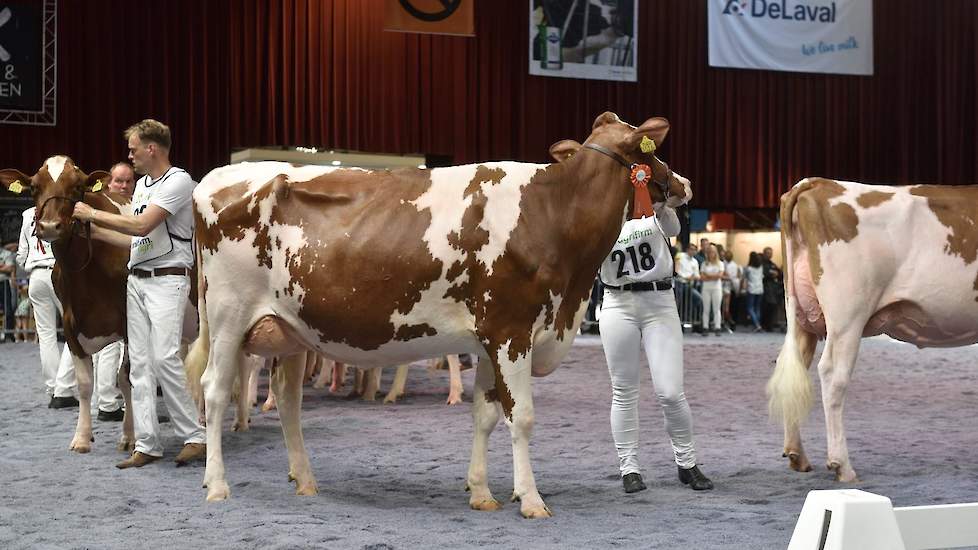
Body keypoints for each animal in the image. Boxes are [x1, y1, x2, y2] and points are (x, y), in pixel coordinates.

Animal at [0, 157, 135, 454]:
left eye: (77, 187)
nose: (50, 226)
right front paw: (82, 437)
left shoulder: (130, 324)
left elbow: (126, 378)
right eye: (34, 187)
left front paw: (130, 435)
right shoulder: (72, 325)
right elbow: (84, 384)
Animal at [187, 114, 692, 520]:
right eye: (652, 150)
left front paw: (482, 492)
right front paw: (531, 500)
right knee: (215, 390)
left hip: (291, 328)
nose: (685, 184)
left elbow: (485, 416)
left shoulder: (490, 339)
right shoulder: (512, 332)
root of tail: (218, 175)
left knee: (288, 398)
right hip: (229, 314)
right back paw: (217, 486)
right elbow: (522, 417)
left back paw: (305, 480)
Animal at [764, 178, 976, 484]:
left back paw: (797, 455)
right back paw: (842, 465)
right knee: (832, 375)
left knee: (795, 367)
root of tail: (818, 183)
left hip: (803, 314)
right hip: (847, 316)